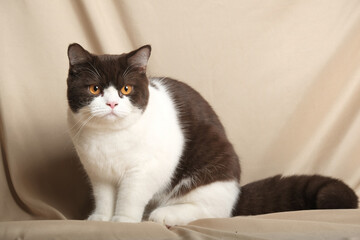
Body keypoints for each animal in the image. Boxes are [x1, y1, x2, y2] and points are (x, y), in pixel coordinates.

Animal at [67, 43, 358, 227]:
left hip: (214, 165)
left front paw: (124, 221)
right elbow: (105, 196)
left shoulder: (146, 170)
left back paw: (163, 214)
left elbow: (130, 195)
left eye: (126, 89)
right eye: (94, 89)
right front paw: (101, 218)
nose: (112, 104)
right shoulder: (98, 172)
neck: (109, 138)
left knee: (212, 210)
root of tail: (236, 191)